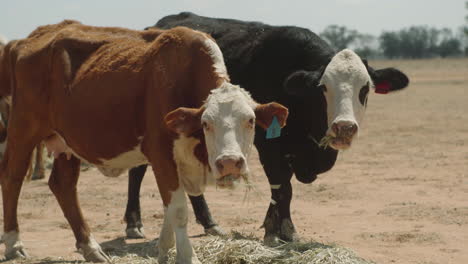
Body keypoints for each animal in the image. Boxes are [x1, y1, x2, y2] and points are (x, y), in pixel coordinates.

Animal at [0, 20, 288, 262]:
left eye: (250, 121)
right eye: (206, 123)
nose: (229, 163)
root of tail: (29, 39)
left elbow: (170, 209)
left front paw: (164, 250)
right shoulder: (160, 154)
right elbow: (178, 210)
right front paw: (187, 256)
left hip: (67, 141)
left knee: (63, 185)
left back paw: (90, 248)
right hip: (23, 129)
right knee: (12, 178)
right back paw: (14, 243)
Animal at [124, 11, 410, 243]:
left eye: (365, 88)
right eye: (323, 88)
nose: (344, 127)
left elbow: (282, 189)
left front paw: (272, 224)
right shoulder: (269, 146)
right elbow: (283, 187)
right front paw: (281, 231)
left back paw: (209, 222)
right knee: (137, 171)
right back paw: (134, 224)